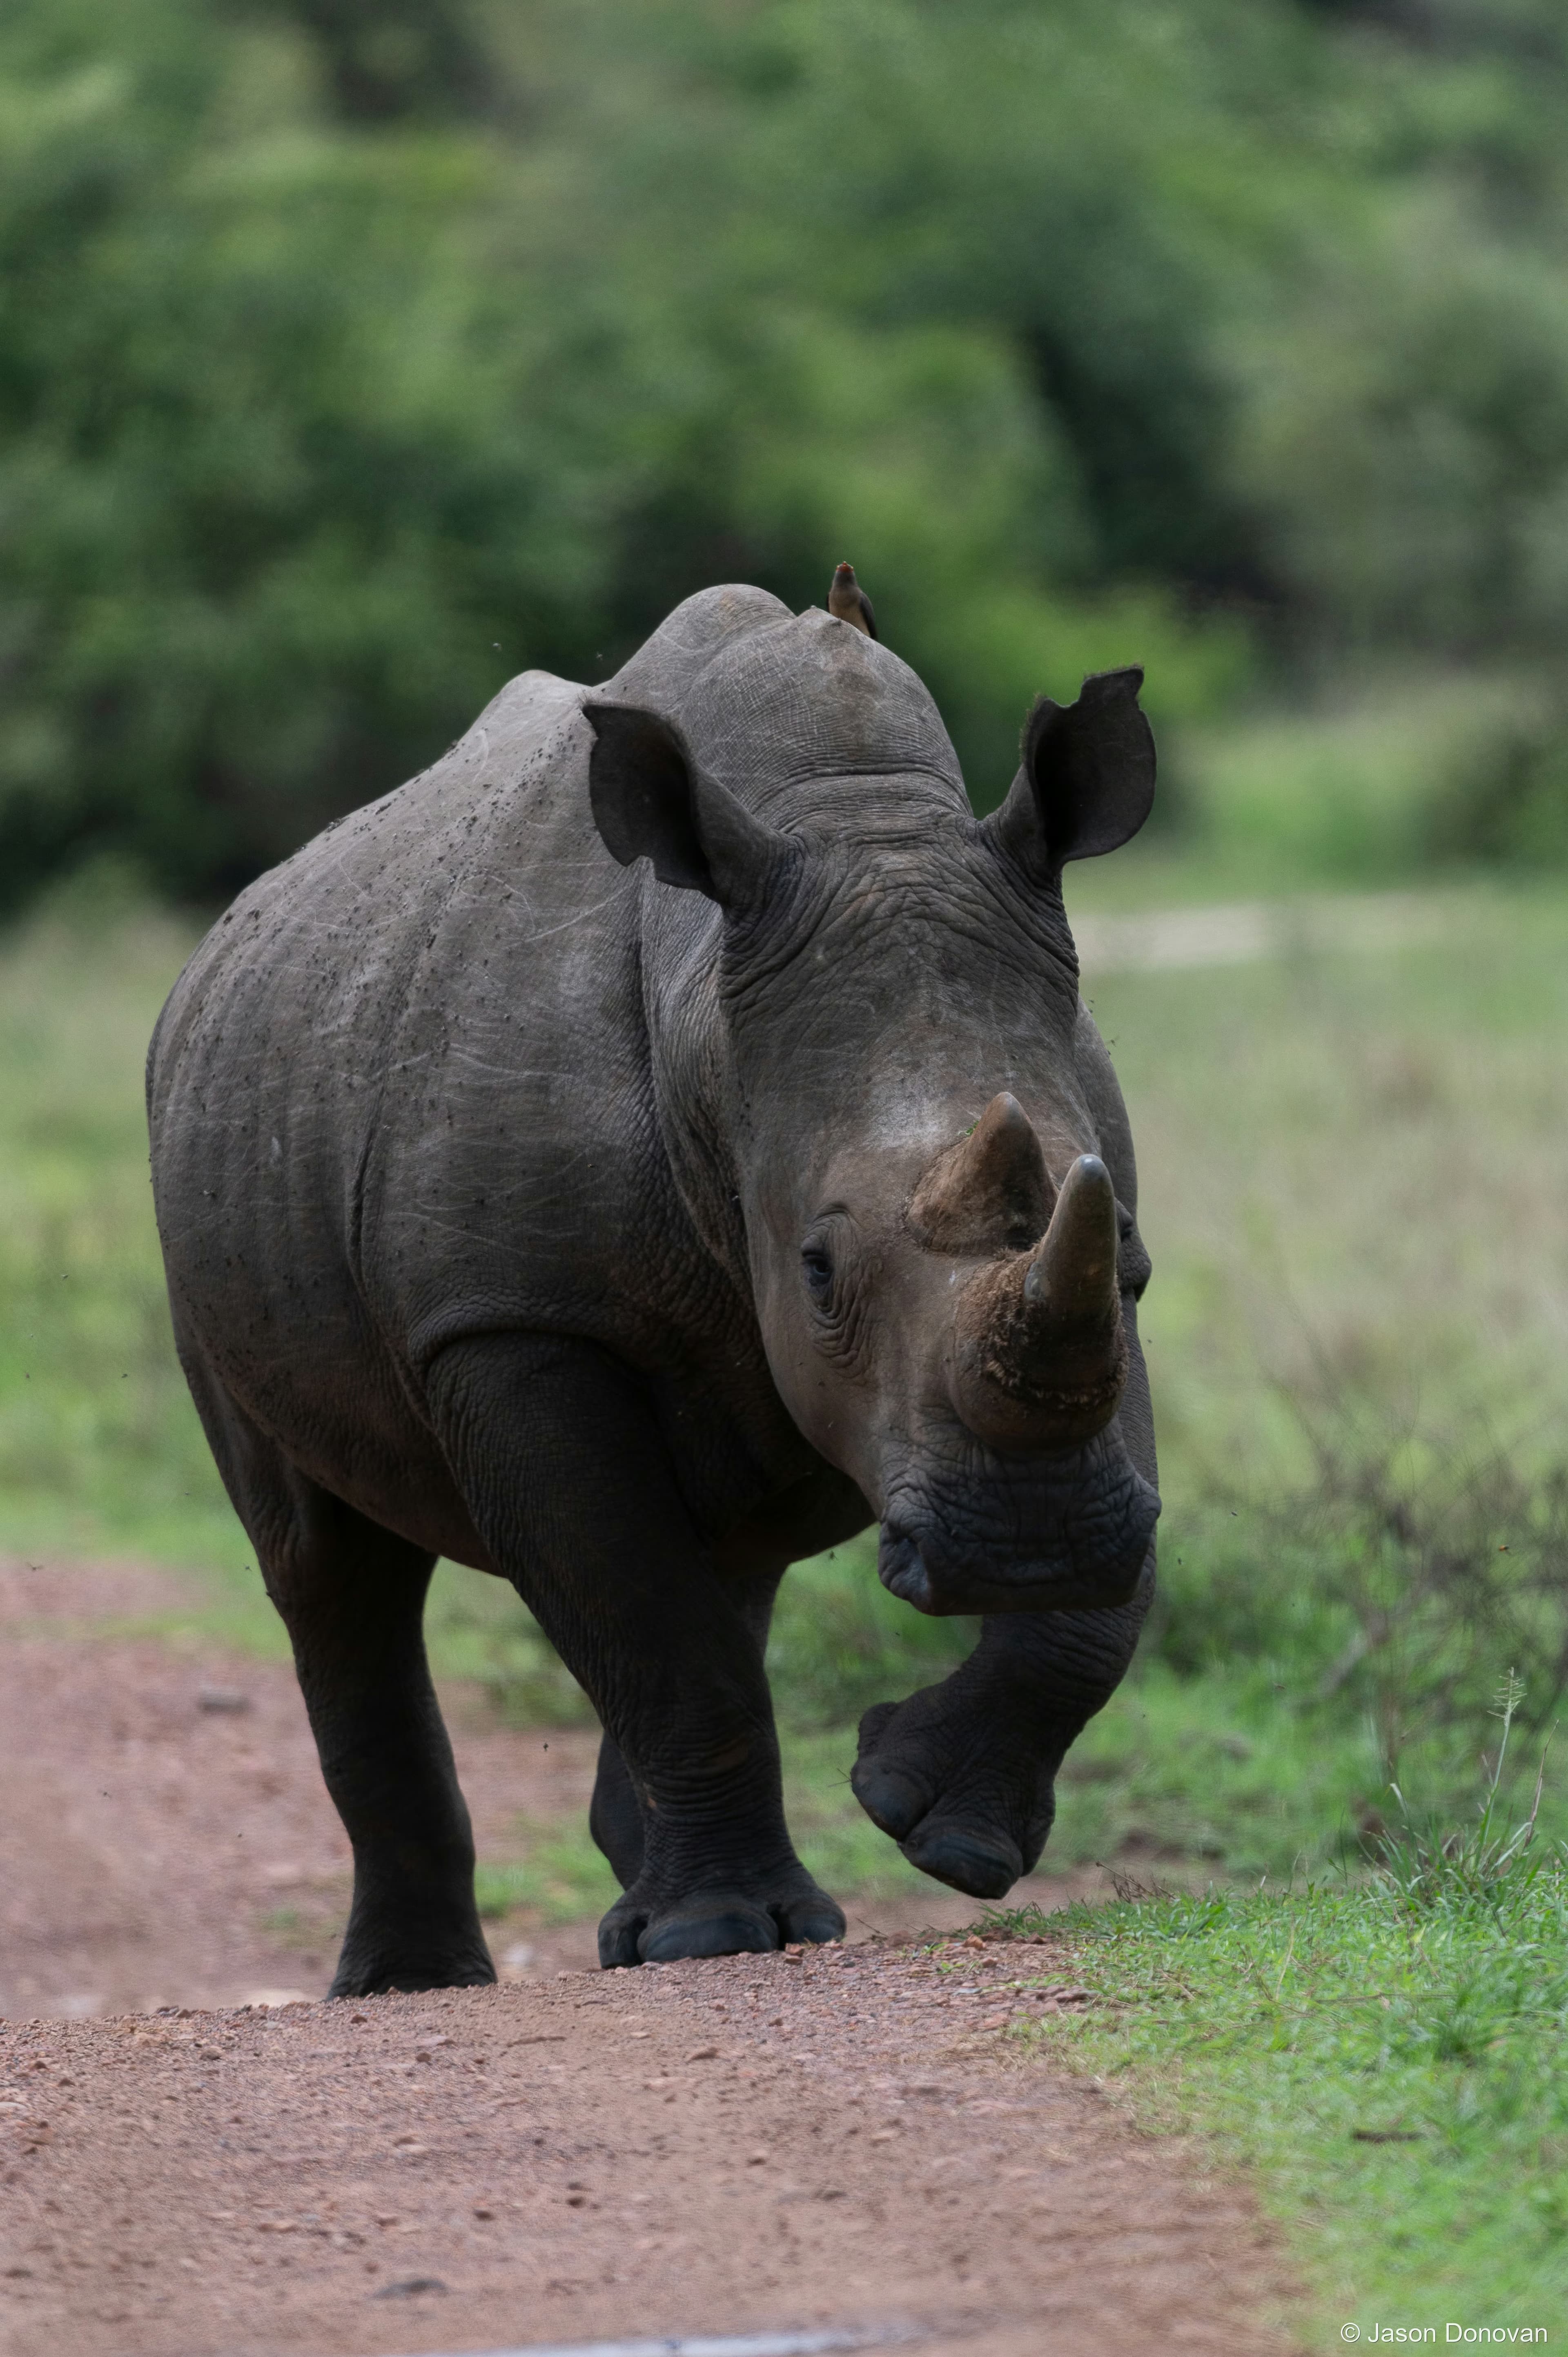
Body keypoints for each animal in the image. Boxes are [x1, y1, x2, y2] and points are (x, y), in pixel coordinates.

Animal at [147, 584, 1160, 1992]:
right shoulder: (510, 1320)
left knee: (729, 1550)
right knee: (325, 1567)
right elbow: (652, 1627)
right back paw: (419, 1979)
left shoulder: (1106, 1276)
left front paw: (933, 1828)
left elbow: (1103, 1596)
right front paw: (718, 1934)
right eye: (819, 1272)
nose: (1028, 1545)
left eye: (1113, 1232)